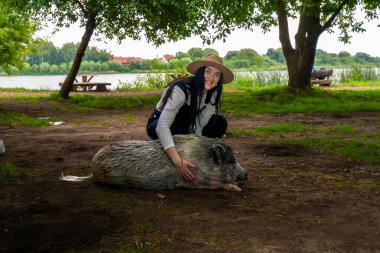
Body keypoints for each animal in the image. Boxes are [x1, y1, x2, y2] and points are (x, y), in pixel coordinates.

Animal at [60, 135, 248, 191]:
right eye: (232, 160)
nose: (247, 174)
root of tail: (92, 169)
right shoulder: (193, 178)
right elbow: (213, 183)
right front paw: (236, 189)